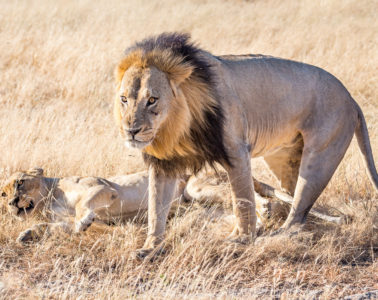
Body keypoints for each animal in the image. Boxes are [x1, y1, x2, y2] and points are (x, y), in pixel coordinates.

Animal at [115, 32, 378, 258]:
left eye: (152, 100)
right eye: (124, 99)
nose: (131, 131)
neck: (177, 127)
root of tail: (351, 99)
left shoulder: (236, 151)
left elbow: (242, 199)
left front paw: (241, 239)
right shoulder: (164, 163)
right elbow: (155, 207)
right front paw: (150, 248)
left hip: (320, 156)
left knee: (298, 212)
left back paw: (278, 235)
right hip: (283, 158)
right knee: (292, 198)